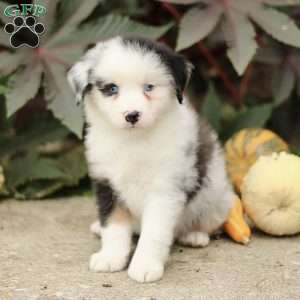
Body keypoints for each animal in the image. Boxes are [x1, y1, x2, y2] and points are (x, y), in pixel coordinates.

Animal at [68, 36, 234, 282]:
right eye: (111, 88)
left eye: (149, 87)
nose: (132, 115)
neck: (133, 141)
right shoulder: (106, 183)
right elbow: (114, 226)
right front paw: (110, 257)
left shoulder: (164, 190)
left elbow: (154, 232)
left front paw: (145, 266)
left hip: (216, 198)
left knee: (208, 222)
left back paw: (195, 235)